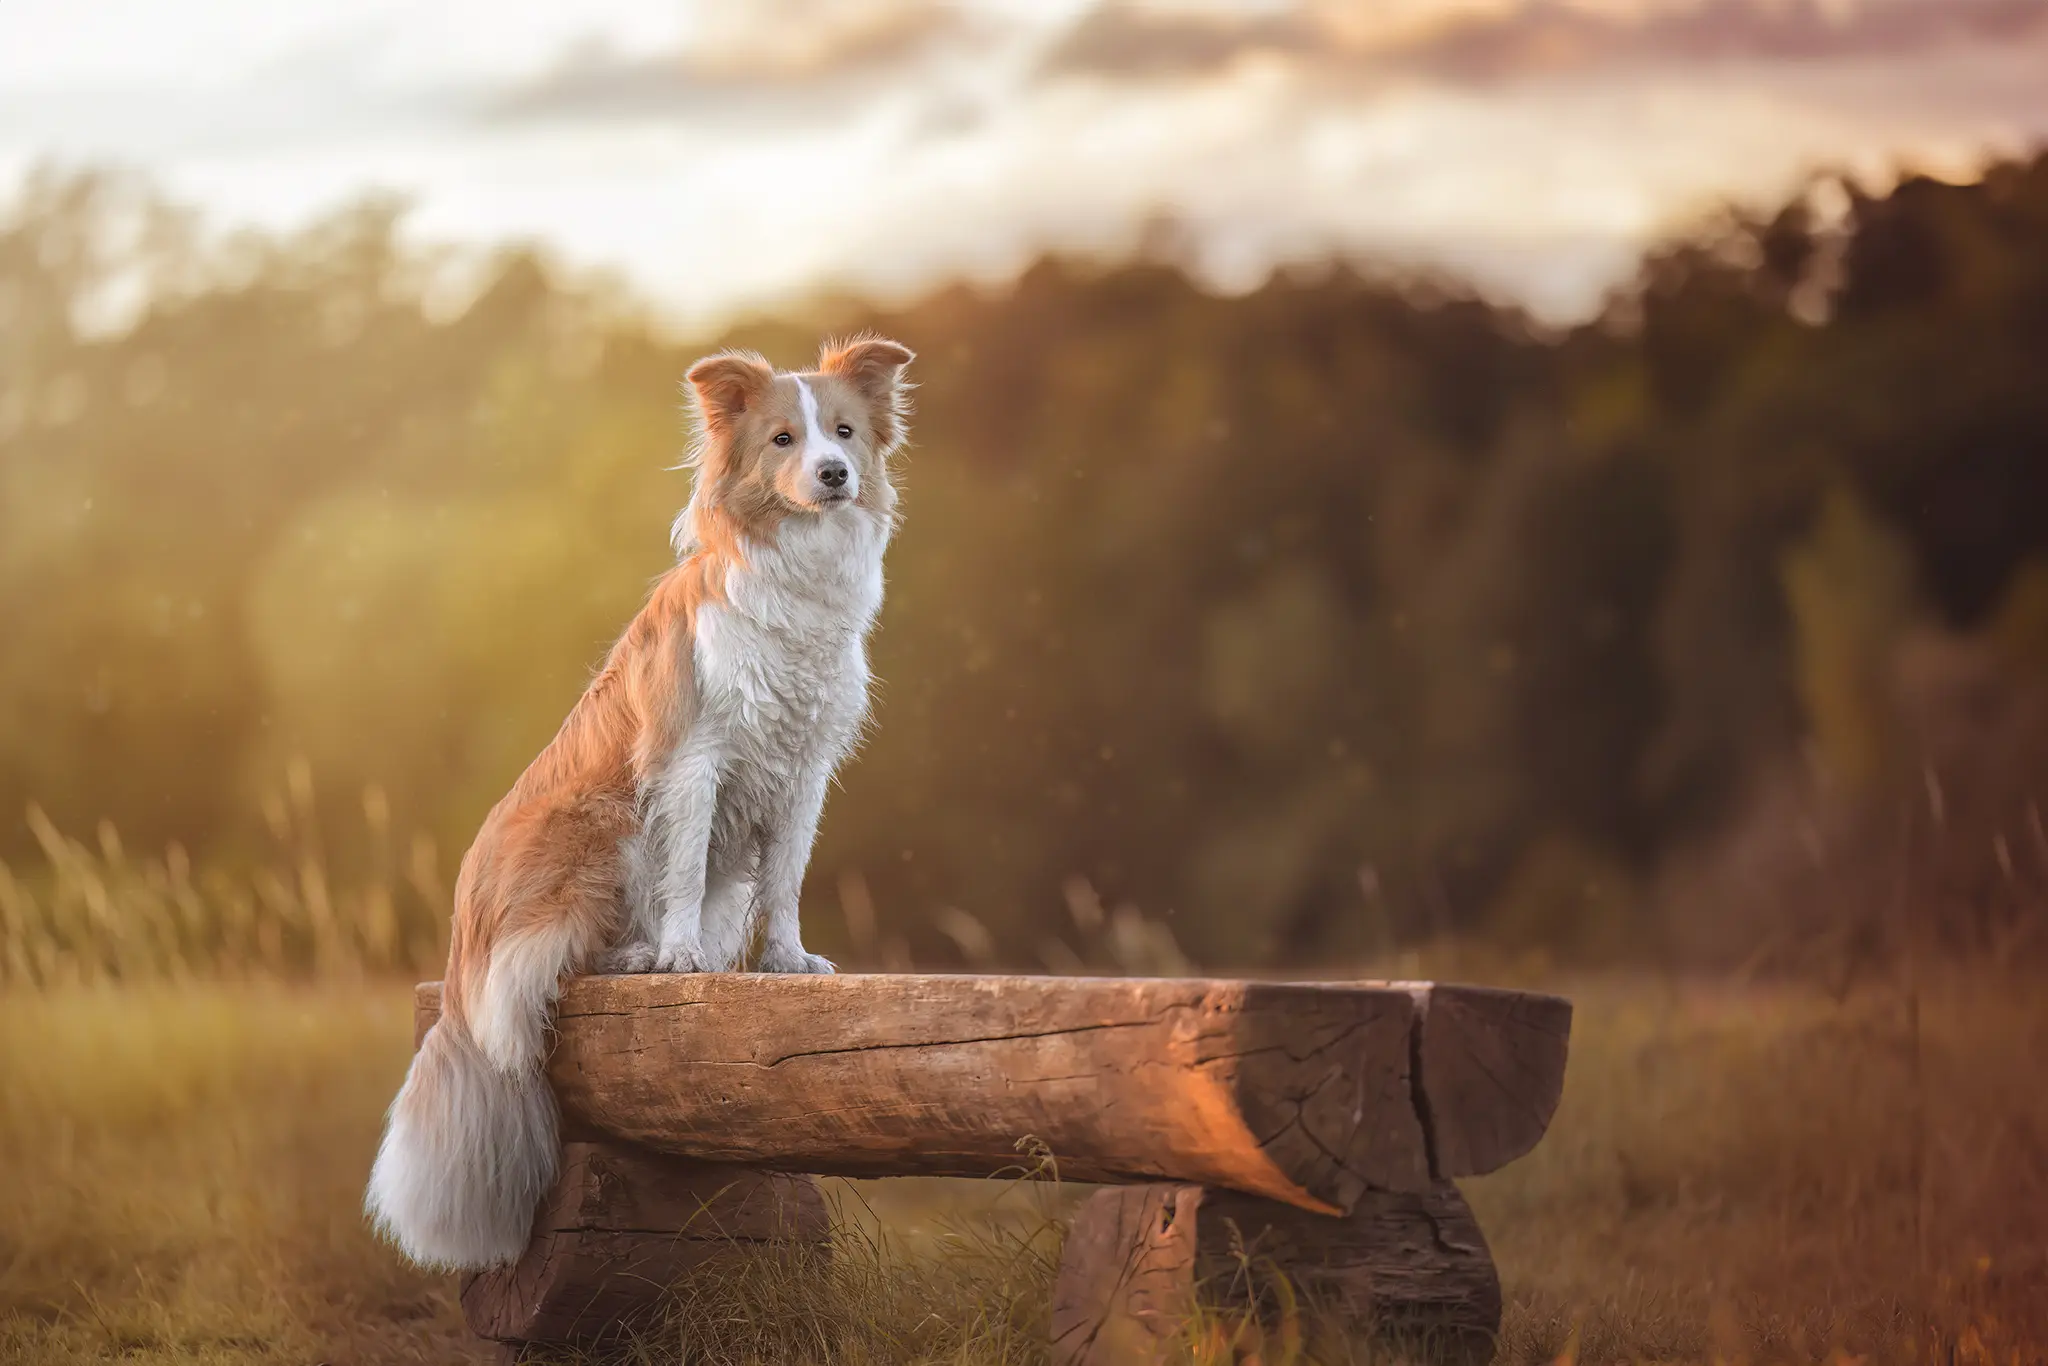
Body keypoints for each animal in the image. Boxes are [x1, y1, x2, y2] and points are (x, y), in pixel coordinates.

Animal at [364, 333, 917, 1269]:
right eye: (783, 440)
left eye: (843, 431)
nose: (836, 473)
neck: (798, 576)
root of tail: (462, 947)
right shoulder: (690, 758)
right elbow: (684, 872)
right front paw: (678, 956)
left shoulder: (804, 772)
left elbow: (785, 882)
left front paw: (785, 961)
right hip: (604, 826)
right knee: (546, 968)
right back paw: (632, 955)